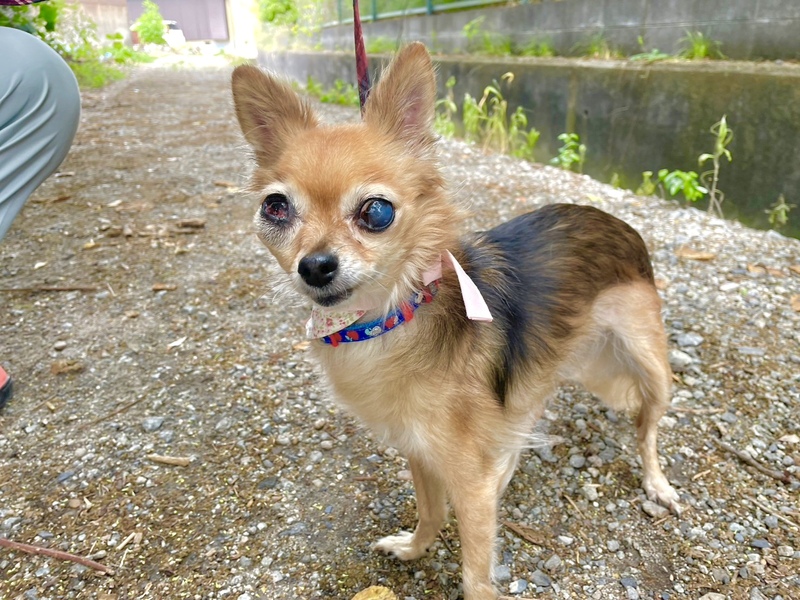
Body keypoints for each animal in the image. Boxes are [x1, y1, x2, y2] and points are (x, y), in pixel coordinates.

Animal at [232, 42, 681, 599]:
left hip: (651, 365)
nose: (314, 266)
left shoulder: (469, 481)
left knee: (647, 430)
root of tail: (615, 220)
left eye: (375, 212)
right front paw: (414, 549)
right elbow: (430, 512)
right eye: (275, 208)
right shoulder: (421, 451)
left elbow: (475, 572)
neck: (393, 317)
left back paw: (656, 483)